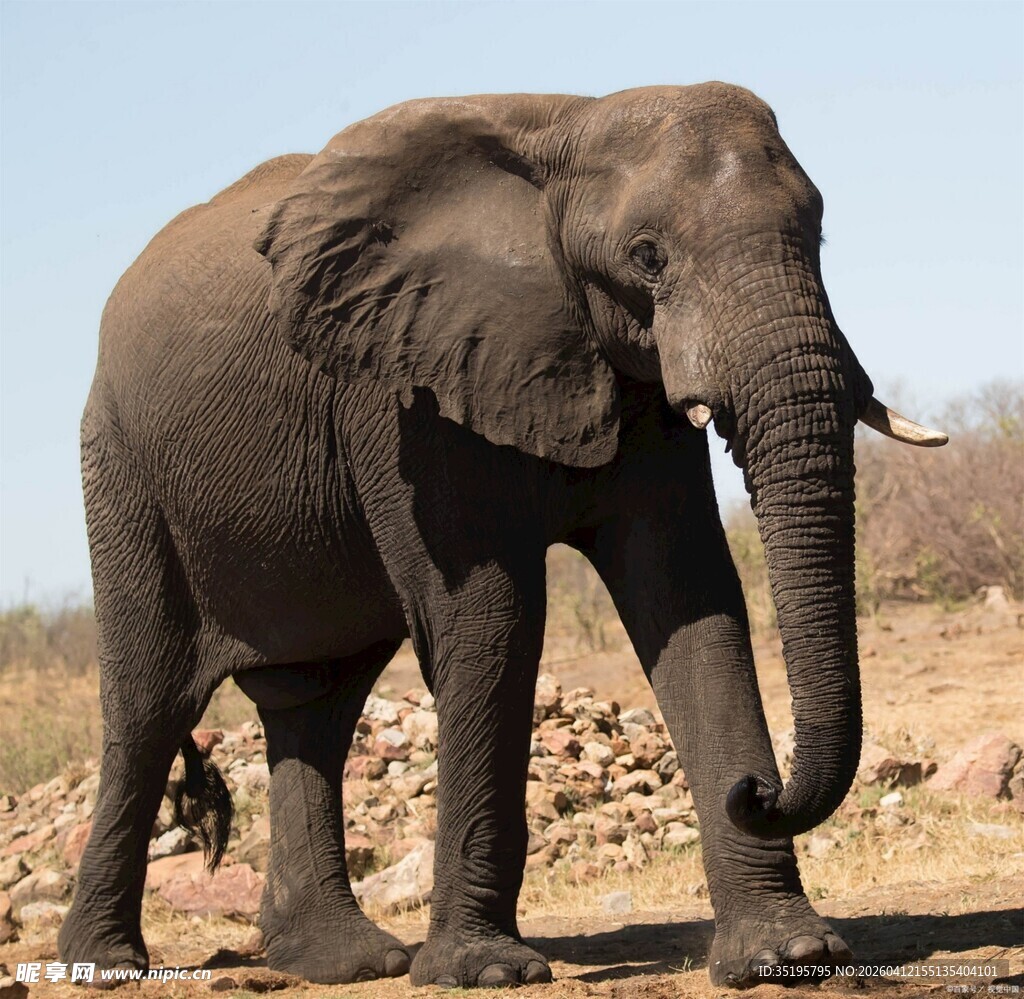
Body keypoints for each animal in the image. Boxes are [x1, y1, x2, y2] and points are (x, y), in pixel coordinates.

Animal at [60, 83, 947, 988]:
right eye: (647, 256)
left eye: (818, 234)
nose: (757, 793)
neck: (568, 127)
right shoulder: (404, 388)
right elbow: (492, 613)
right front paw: (485, 972)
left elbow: (690, 596)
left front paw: (788, 956)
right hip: (122, 469)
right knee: (150, 705)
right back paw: (105, 962)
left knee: (315, 703)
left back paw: (345, 960)